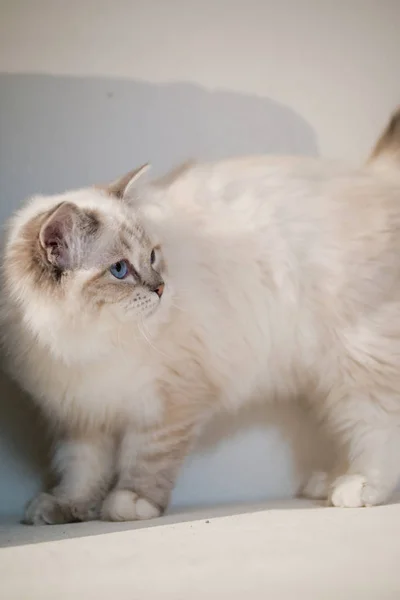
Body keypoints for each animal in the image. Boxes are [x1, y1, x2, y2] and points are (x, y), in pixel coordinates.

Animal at [2, 109, 400, 524]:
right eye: (120, 270)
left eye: (153, 257)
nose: (161, 288)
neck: (86, 343)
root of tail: (373, 176)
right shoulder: (82, 413)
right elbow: (82, 470)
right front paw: (64, 506)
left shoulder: (168, 399)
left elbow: (147, 456)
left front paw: (130, 503)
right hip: (328, 379)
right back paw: (329, 480)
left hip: (355, 362)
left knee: (379, 428)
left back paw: (358, 485)